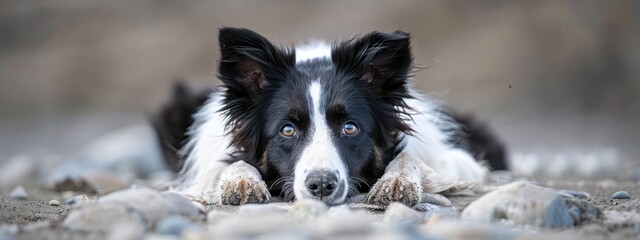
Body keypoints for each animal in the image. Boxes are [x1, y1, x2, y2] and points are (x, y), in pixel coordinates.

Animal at [152, 27, 508, 206]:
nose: (321, 186)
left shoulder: (461, 161)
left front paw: (396, 182)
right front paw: (241, 180)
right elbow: (231, 164)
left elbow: (410, 157)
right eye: (287, 130)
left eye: (350, 128)